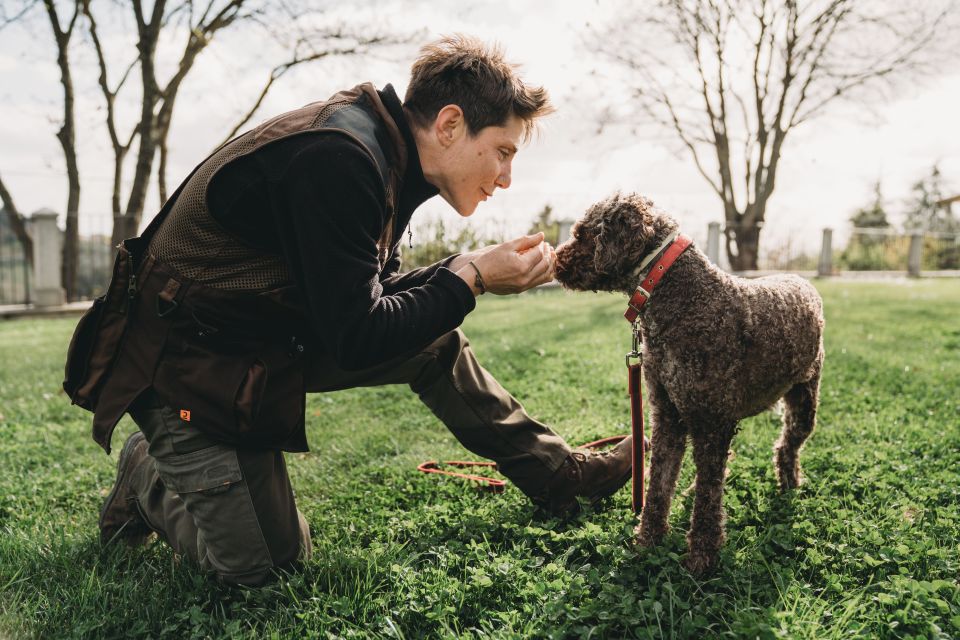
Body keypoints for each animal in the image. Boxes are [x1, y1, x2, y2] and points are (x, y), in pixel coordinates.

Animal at [556, 192, 824, 572]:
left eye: (582, 234)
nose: (554, 260)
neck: (681, 294)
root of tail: (802, 280)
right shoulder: (668, 414)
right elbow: (659, 484)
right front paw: (648, 541)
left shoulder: (713, 423)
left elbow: (709, 499)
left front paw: (701, 557)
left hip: (804, 399)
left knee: (787, 446)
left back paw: (789, 483)